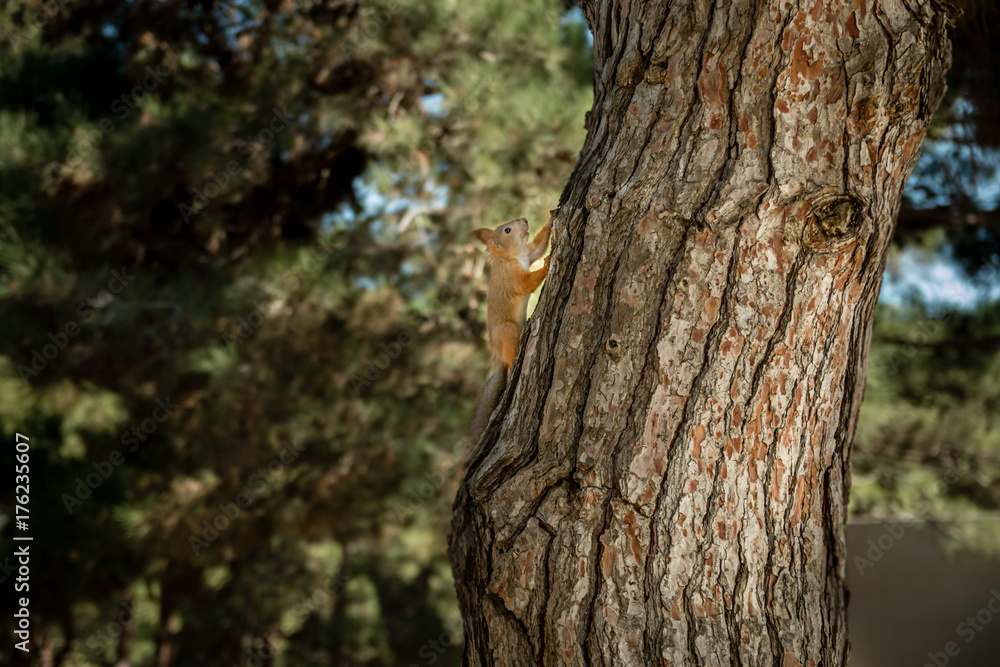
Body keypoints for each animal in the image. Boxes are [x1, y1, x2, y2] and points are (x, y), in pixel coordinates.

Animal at [466, 214, 553, 452]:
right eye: (507, 230)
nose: (524, 219)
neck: (510, 256)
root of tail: (497, 356)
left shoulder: (528, 253)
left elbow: (538, 246)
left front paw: (552, 218)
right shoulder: (512, 279)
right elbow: (527, 284)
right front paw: (547, 264)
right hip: (508, 330)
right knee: (511, 353)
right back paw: (514, 362)